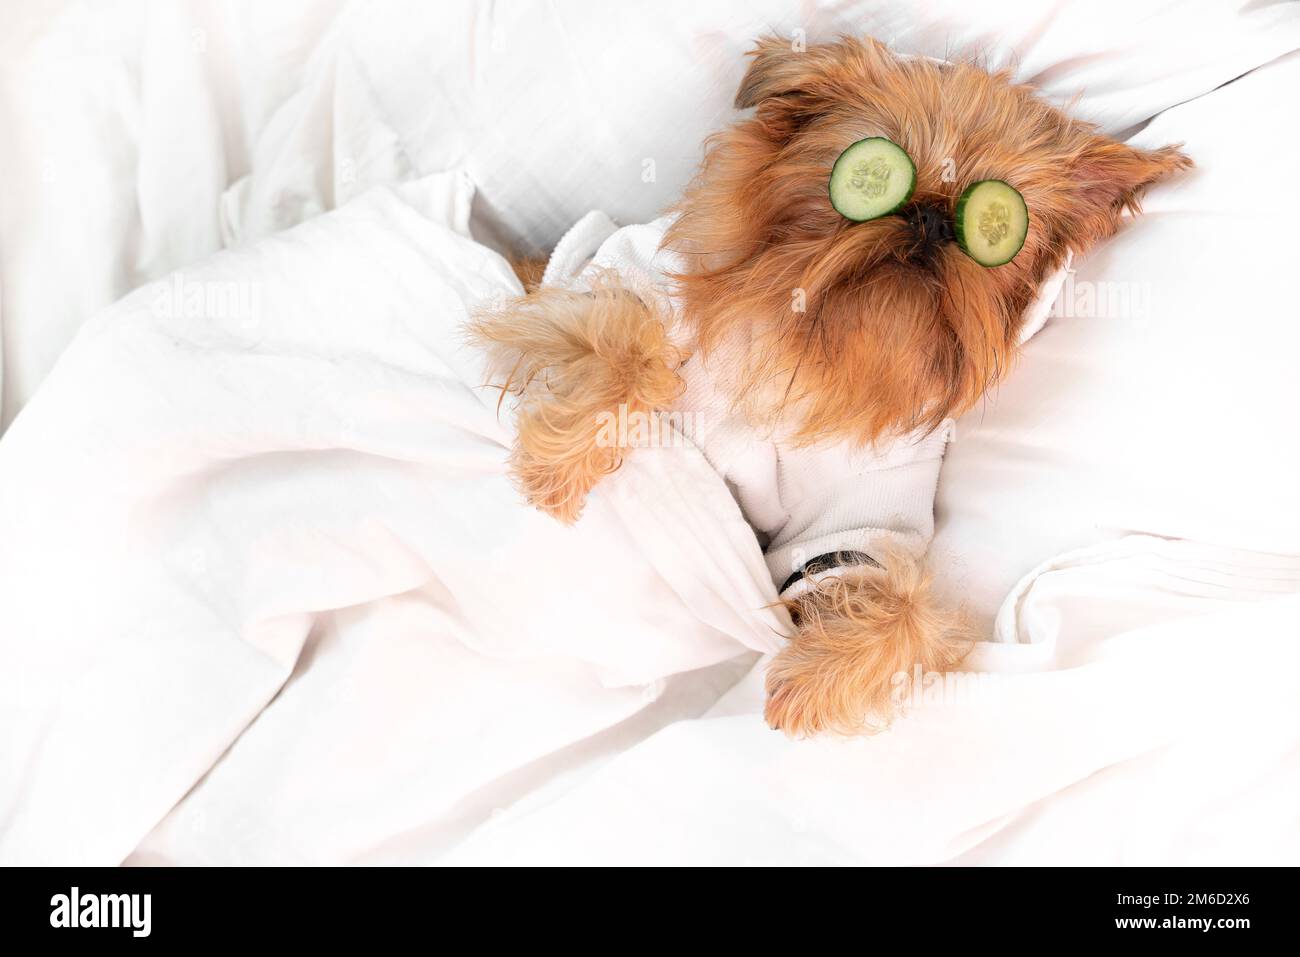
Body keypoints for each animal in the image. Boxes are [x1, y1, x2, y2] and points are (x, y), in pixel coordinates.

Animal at [470, 37, 1190, 738]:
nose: (931, 217)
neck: (816, 347)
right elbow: (626, 346)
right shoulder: (598, 284)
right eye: (874, 171)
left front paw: (821, 676)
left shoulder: (858, 514)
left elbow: (887, 598)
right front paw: (559, 467)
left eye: (992, 220)